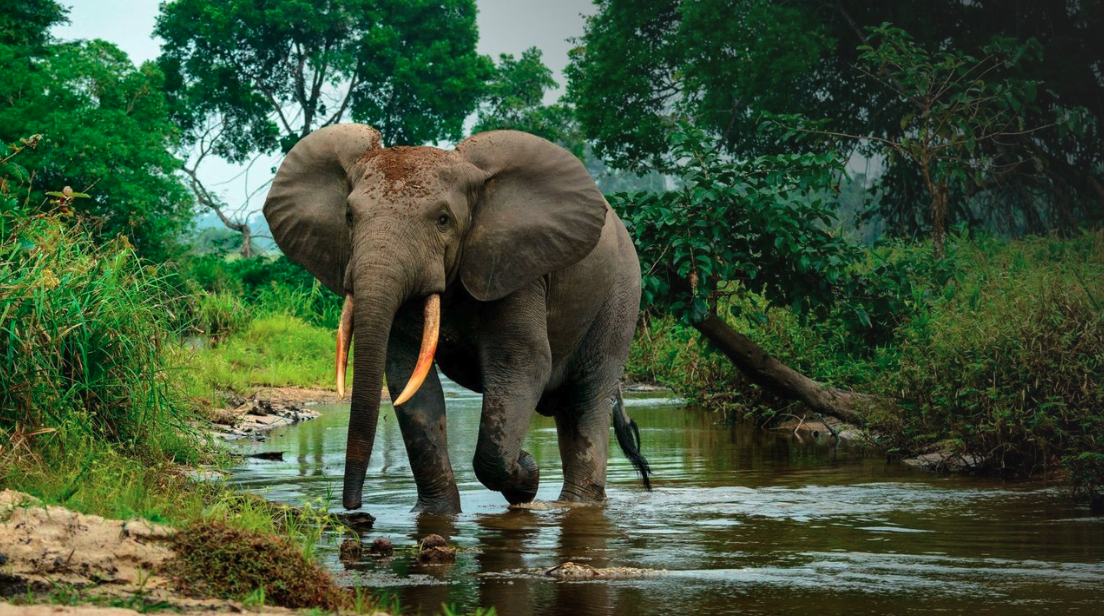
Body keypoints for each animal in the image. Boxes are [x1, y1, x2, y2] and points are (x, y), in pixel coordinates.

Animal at [263, 124, 651, 513]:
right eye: (349, 217)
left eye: (443, 220)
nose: (353, 507)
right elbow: (408, 378)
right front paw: (436, 514)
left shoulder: (516, 268)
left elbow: (523, 364)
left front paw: (526, 475)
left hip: (620, 297)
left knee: (587, 398)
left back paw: (576, 507)